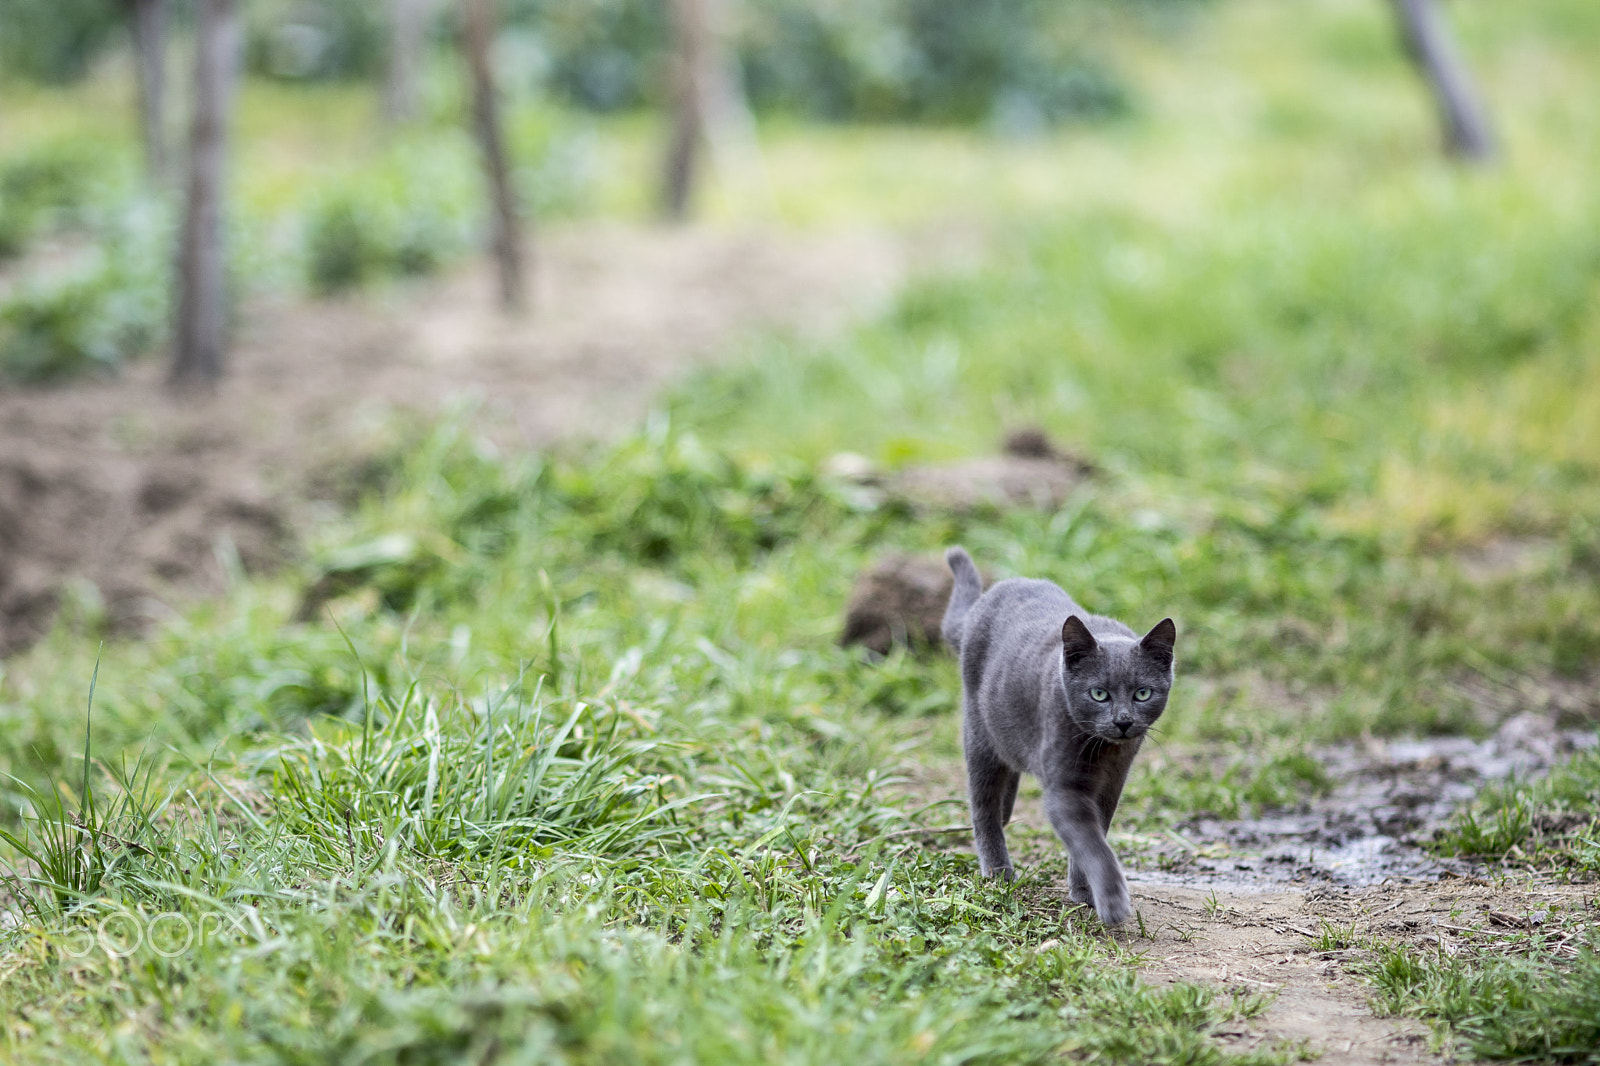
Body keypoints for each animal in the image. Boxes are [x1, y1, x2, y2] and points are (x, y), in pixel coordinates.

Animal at [934, 547, 1177, 921]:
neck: (1105, 752)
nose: (1123, 721)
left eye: (1142, 693)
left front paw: (1084, 890)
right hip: (979, 733)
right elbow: (1092, 843)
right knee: (983, 805)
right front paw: (1112, 901)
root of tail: (985, 599)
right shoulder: (1064, 787)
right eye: (1099, 694)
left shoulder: (1112, 784)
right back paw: (999, 871)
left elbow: (1097, 833)